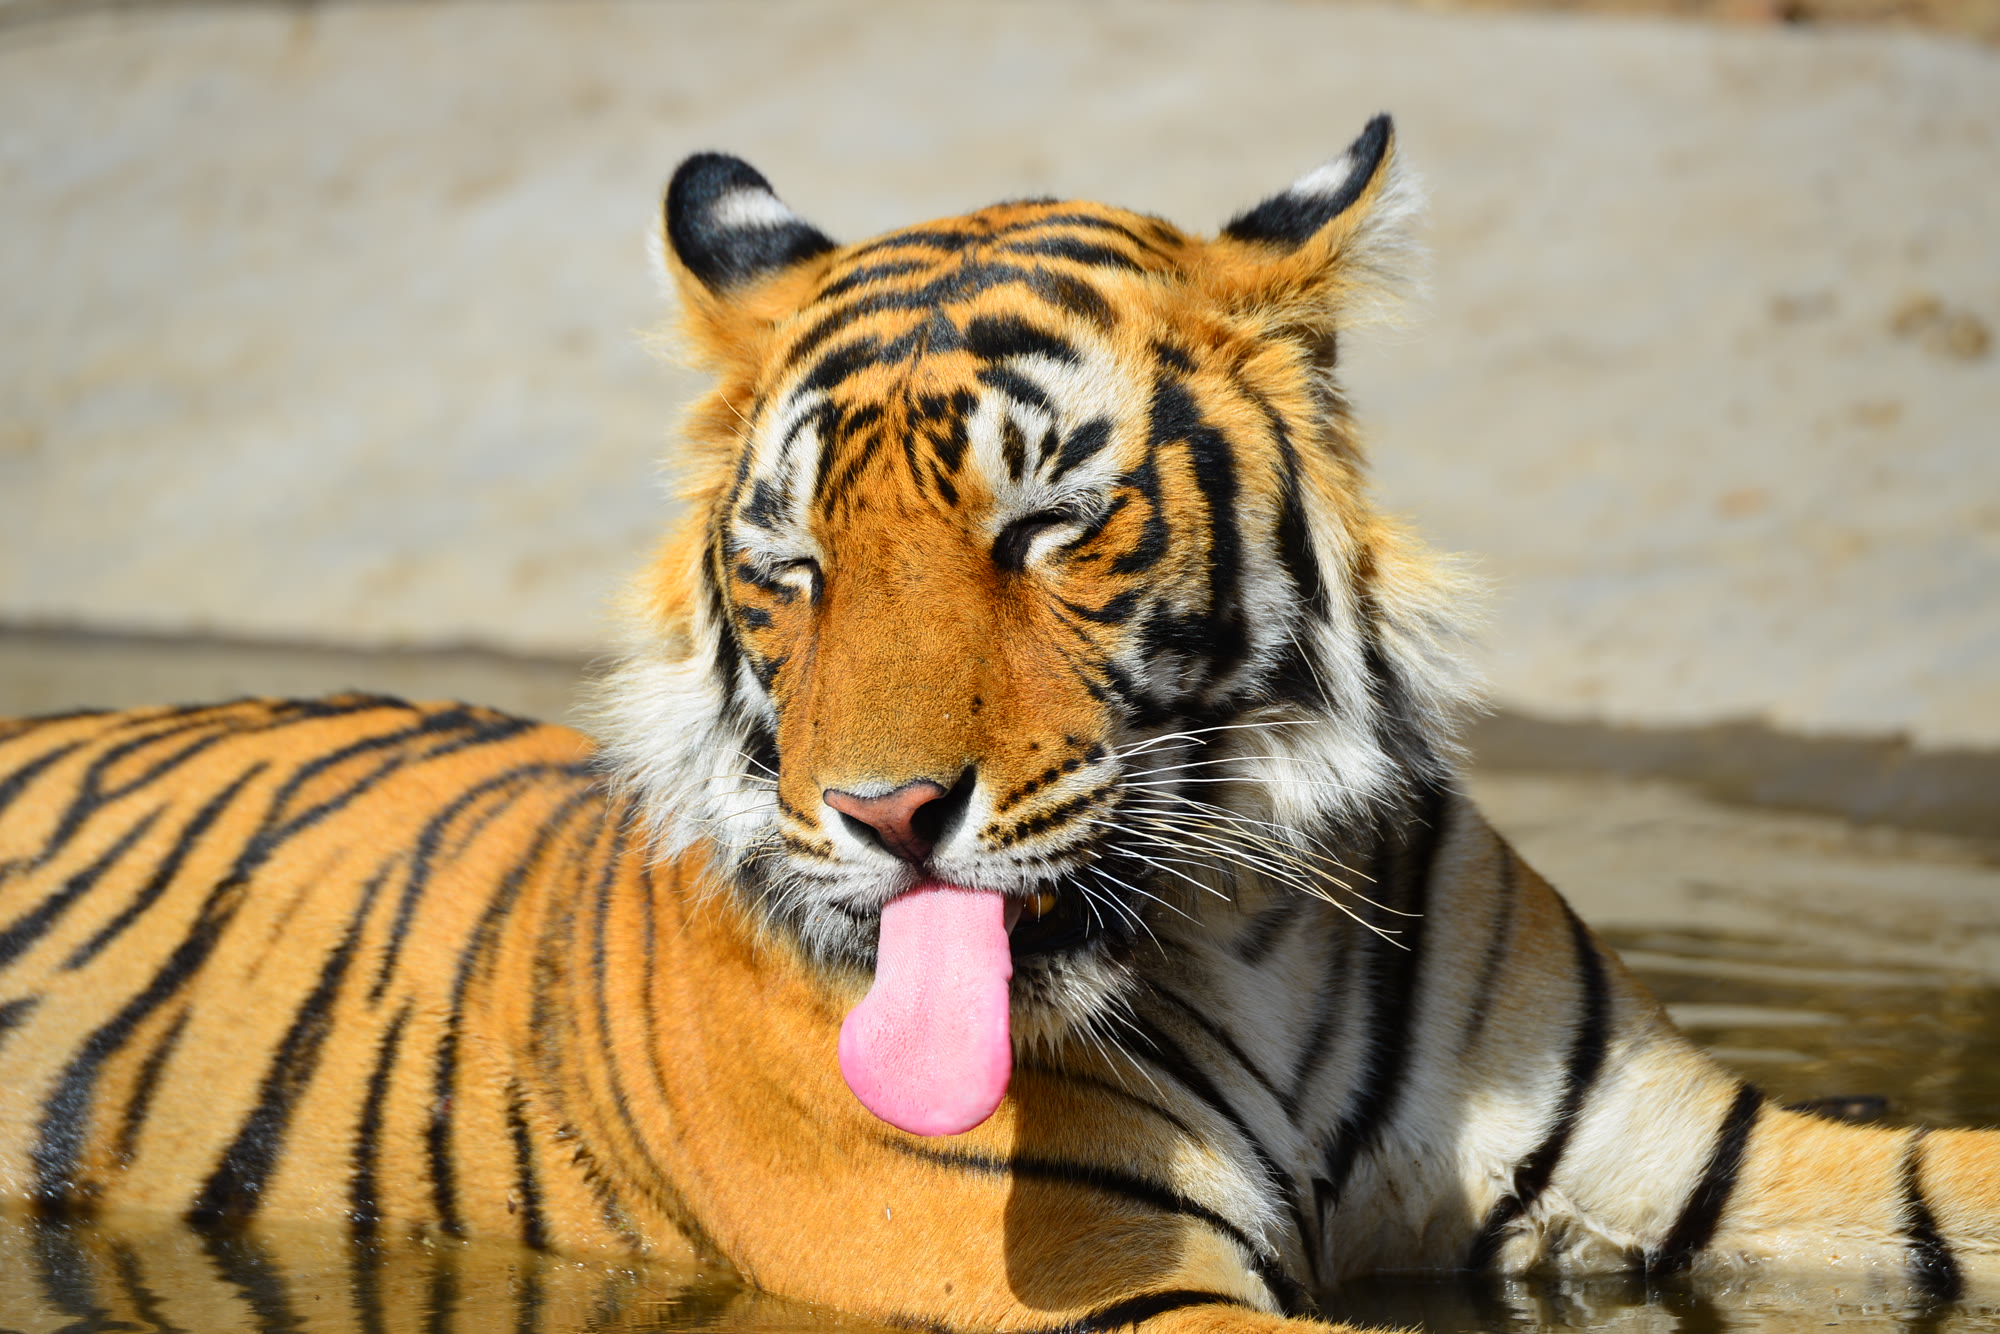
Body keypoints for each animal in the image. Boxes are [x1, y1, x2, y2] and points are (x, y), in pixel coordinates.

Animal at [0, 114, 1994, 1334]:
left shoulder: (1683, 1159)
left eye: (1044, 525)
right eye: (792, 564)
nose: (885, 813)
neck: (1244, 923)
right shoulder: (1086, 1272)